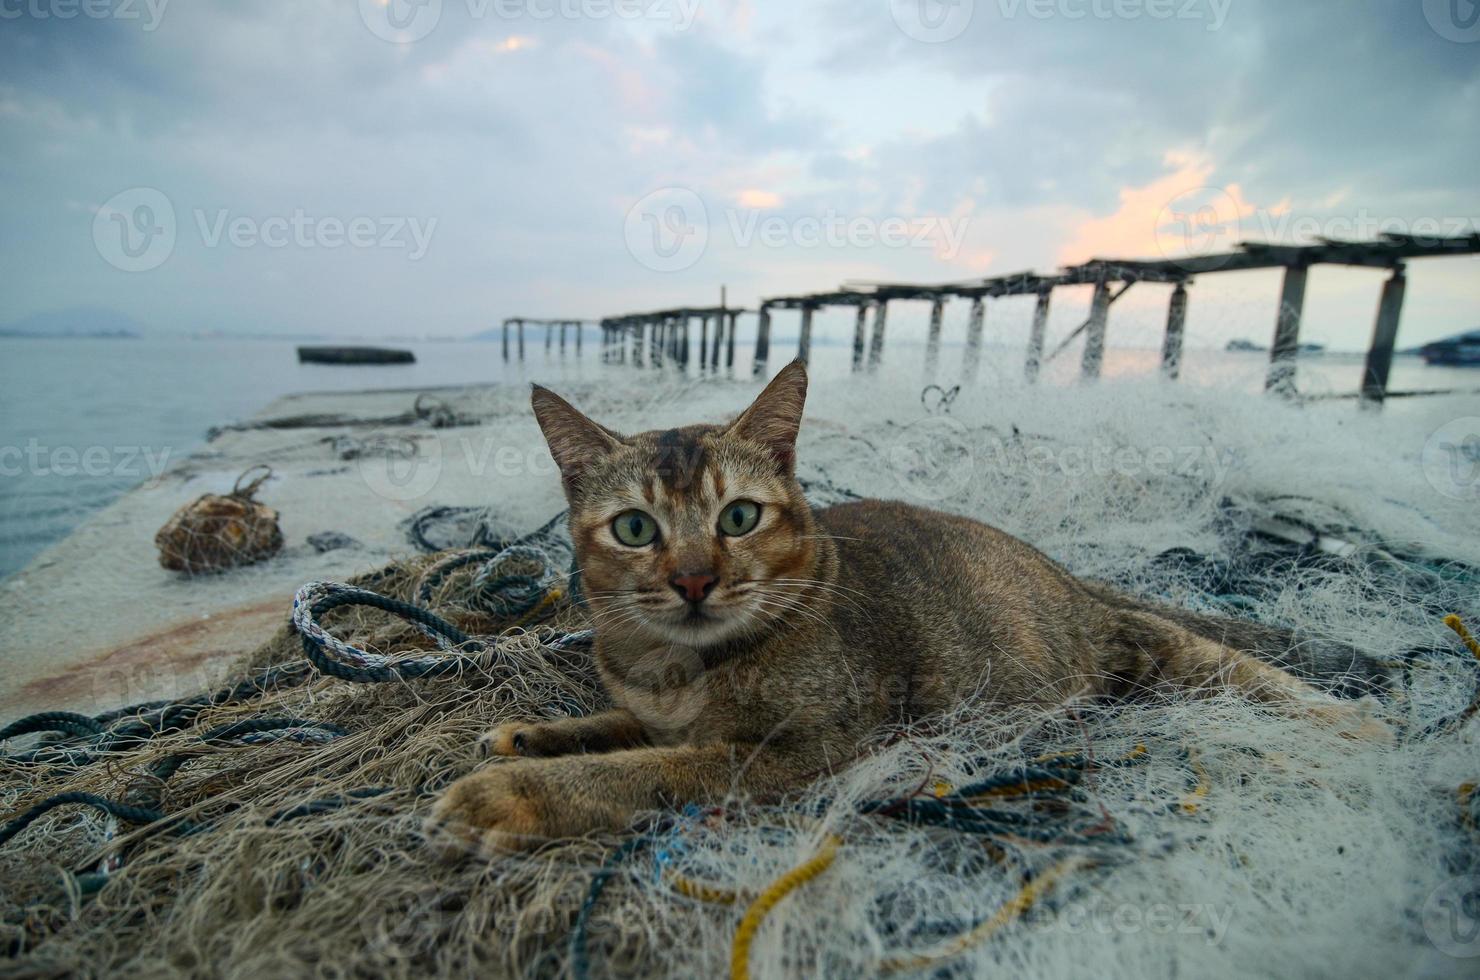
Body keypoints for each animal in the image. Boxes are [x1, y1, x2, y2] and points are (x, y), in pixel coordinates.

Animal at [426, 364, 1385, 858]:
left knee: (1235, 666)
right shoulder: (657, 708)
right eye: (635, 528)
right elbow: (624, 729)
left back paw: (1354, 727)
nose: (695, 580)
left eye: (739, 517)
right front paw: (536, 737)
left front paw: (512, 793)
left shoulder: (808, 753)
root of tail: (1068, 572)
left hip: (1130, 647)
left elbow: (649, 770)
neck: (677, 668)